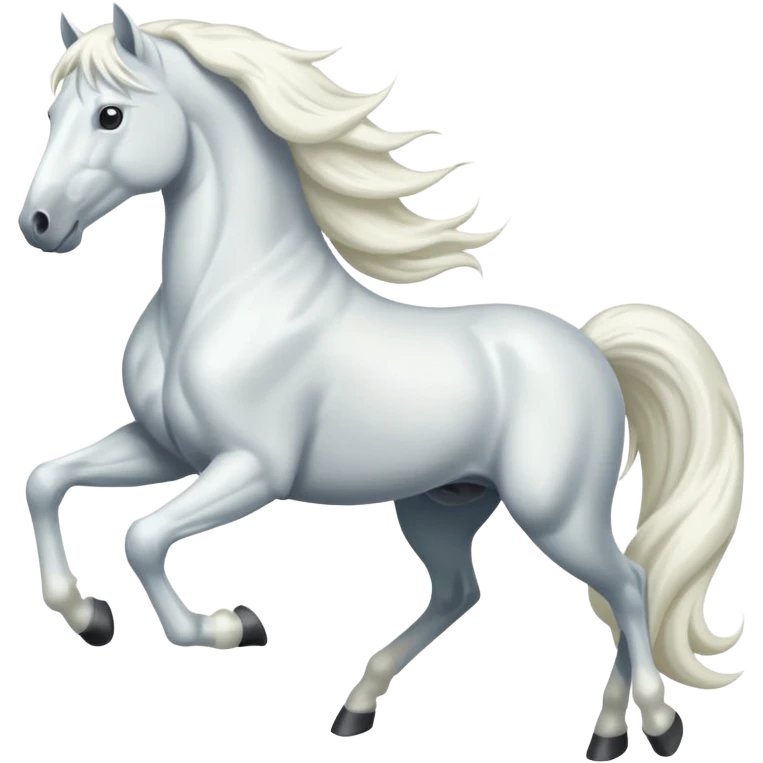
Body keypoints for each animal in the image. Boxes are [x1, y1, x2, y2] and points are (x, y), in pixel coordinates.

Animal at [19, 7, 745, 758]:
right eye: (52, 111)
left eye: (110, 115)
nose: (37, 224)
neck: (225, 298)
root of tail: (591, 349)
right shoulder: (164, 449)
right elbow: (46, 480)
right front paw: (88, 616)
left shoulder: (251, 469)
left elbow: (142, 536)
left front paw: (232, 624)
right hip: (442, 504)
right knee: (463, 592)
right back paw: (367, 709)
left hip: (555, 512)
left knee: (628, 583)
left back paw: (649, 724)